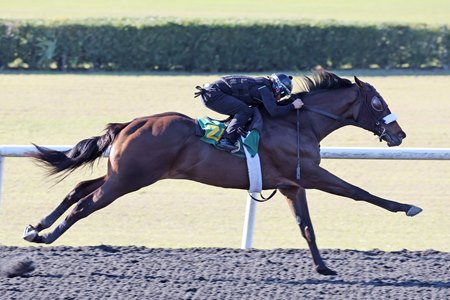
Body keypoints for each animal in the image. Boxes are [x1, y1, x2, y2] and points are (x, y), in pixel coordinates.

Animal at [22, 69, 422, 274]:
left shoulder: (292, 184)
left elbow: (306, 226)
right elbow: (359, 192)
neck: (299, 122)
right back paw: (47, 236)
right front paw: (407, 207)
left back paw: (35, 227)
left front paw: (323, 268)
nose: (400, 134)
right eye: (378, 103)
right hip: (129, 179)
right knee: (83, 204)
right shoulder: (310, 175)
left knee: (77, 190)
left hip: (121, 174)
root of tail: (129, 124)